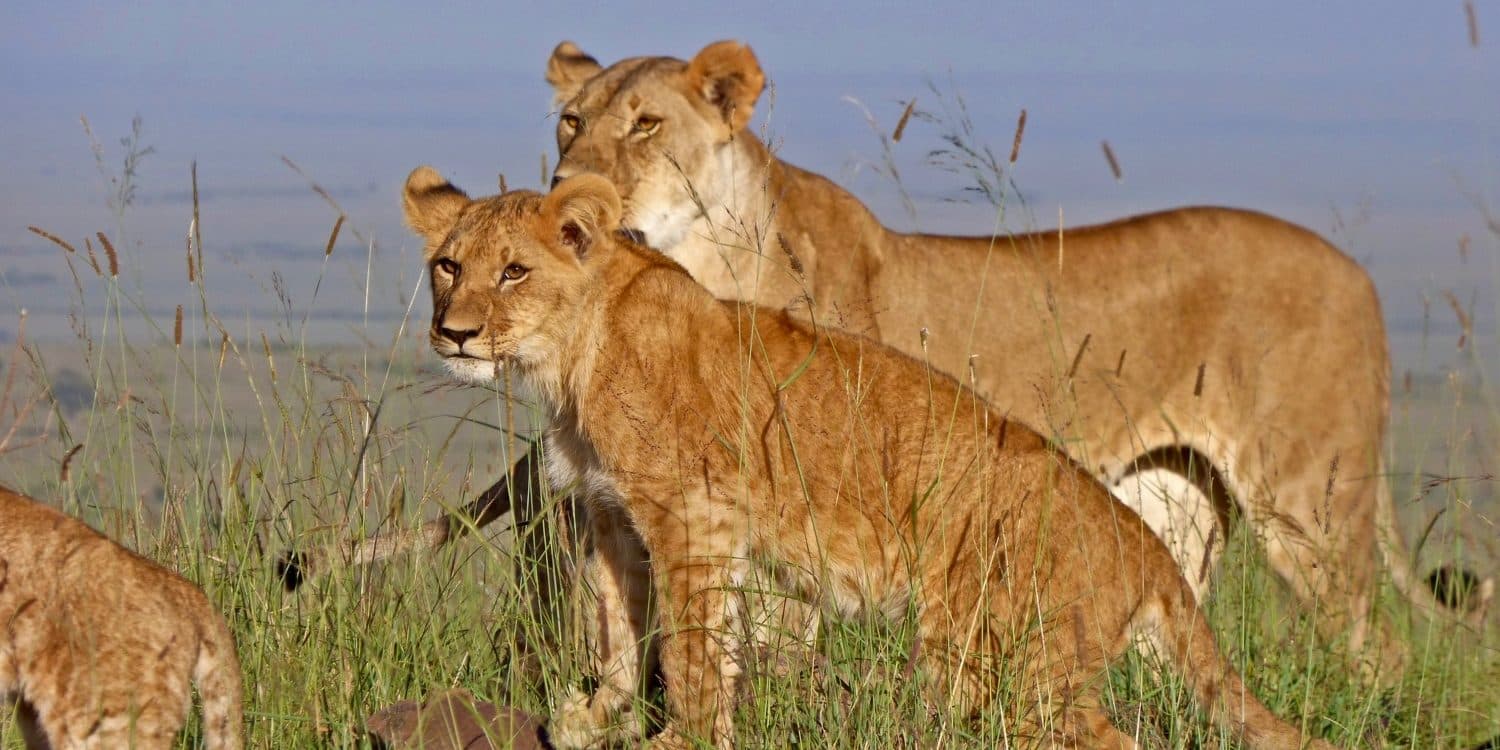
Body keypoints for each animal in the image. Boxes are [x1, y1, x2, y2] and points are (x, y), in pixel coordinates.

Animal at [403, 168, 1337, 749]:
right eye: (447, 265)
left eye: (514, 272)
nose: (455, 332)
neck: (572, 358)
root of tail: (1138, 541)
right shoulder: (613, 514)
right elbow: (619, 629)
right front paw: (599, 716)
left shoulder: (695, 515)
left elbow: (696, 644)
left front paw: (685, 735)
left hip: (1002, 656)